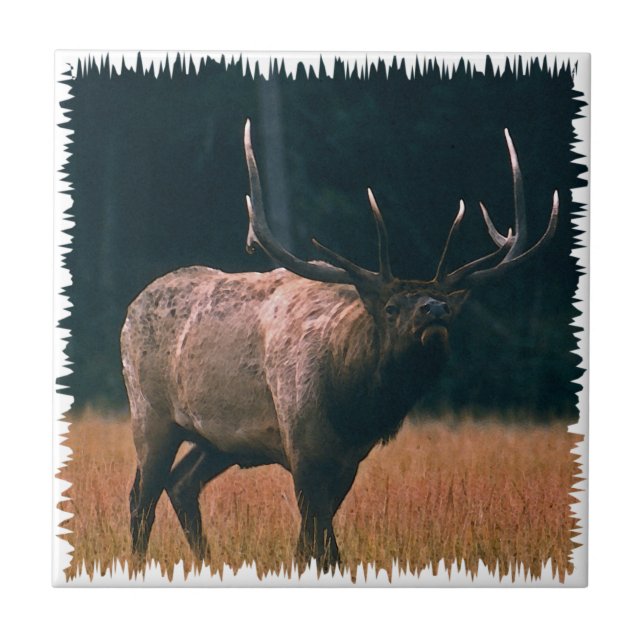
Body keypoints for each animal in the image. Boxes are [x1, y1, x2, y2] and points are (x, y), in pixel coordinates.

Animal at [121, 119, 558, 573]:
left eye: (450, 309)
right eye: (391, 307)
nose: (435, 309)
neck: (353, 407)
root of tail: (132, 307)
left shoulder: (349, 461)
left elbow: (312, 543)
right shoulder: (302, 447)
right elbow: (323, 542)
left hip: (217, 440)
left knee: (181, 484)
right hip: (150, 413)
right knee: (141, 498)